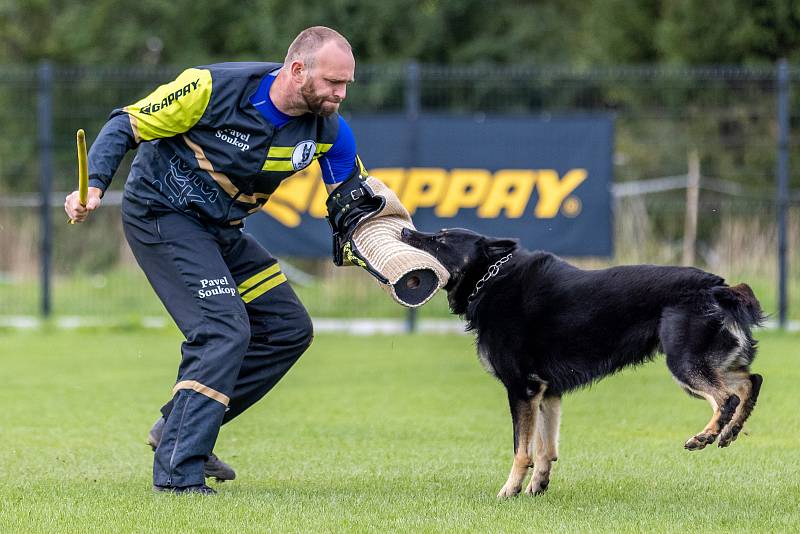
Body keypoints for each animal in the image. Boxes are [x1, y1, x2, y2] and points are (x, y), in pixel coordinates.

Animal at [400, 228, 764, 500]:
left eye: (442, 239)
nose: (405, 231)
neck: (491, 280)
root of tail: (718, 286)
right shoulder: (545, 393)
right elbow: (545, 449)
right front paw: (536, 487)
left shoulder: (522, 390)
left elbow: (522, 450)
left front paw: (510, 490)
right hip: (706, 362)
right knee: (750, 382)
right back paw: (729, 432)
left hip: (684, 364)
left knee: (727, 397)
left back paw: (707, 435)